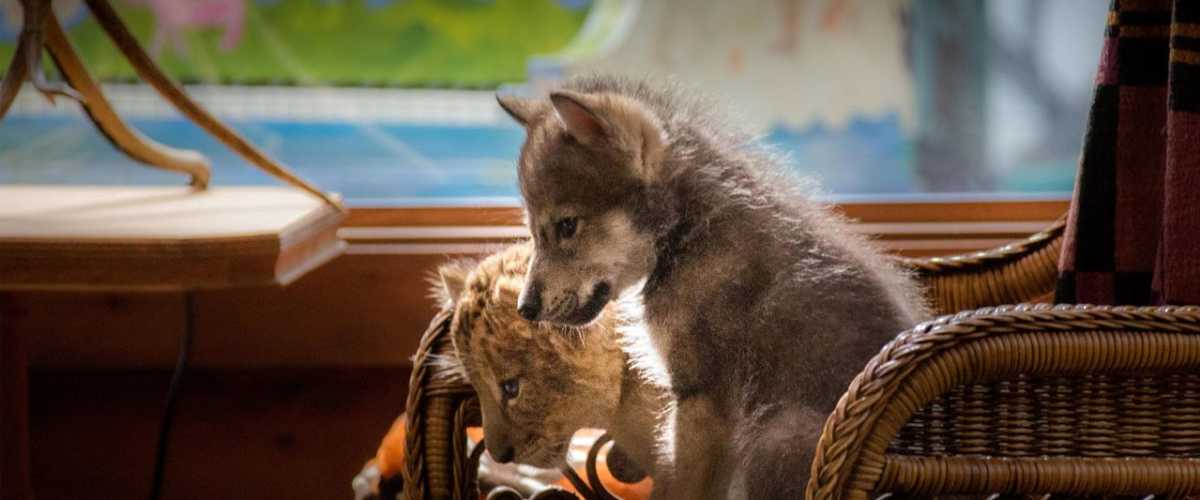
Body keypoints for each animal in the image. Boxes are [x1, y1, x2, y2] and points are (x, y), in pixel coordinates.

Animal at [496, 76, 927, 499]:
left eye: (567, 226)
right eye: (534, 230)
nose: (525, 308)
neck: (686, 235)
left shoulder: (700, 401)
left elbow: (682, 487)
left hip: (775, 437)